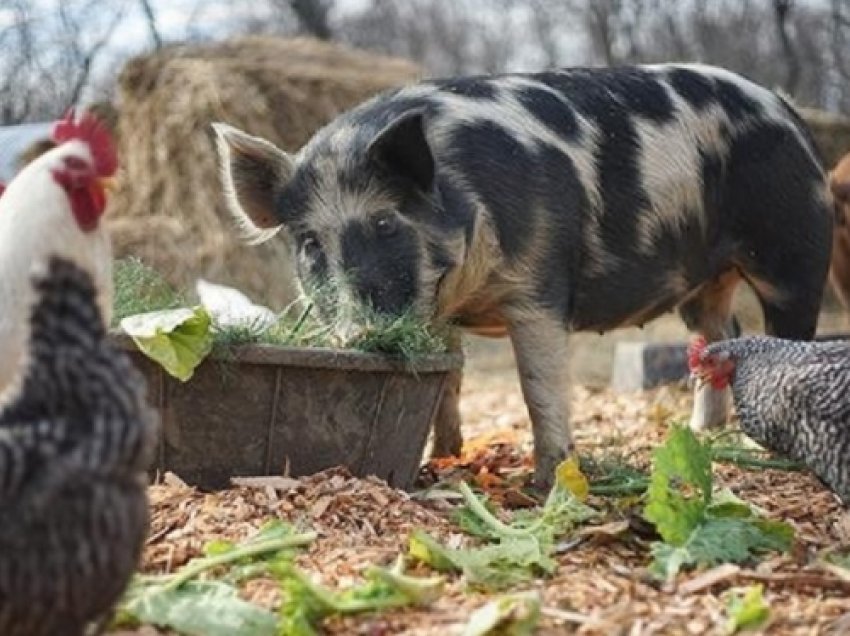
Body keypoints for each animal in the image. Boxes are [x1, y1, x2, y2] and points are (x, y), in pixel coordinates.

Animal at [210, 63, 828, 486]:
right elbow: (449, 380)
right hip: (701, 284)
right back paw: (701, 433)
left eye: (385, 222)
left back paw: (767, 452)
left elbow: (537, 386)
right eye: (310, 243)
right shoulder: (441, 313)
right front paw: (443, 456)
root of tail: (785, 108)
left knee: (789, 340)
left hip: (793, 253)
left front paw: (547, 483)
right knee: (720, 336)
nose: (358, 334)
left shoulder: (539, 285)